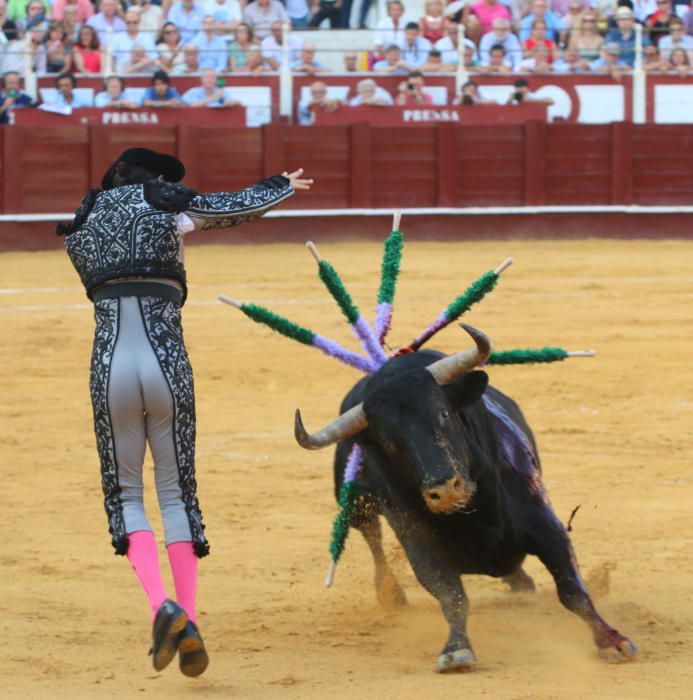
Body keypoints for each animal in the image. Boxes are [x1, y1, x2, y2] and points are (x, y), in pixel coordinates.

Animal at [294, 326, 636, 672]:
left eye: (444, 413)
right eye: (388, 440)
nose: (445, 489)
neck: (475, 511)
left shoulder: (546, 525)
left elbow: (572, 590)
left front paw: (612, 641)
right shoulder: (422, 547)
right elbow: (452, 596)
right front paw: (456, 650)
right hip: (355, 502)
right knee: (371, 536)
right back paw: (390, 593)